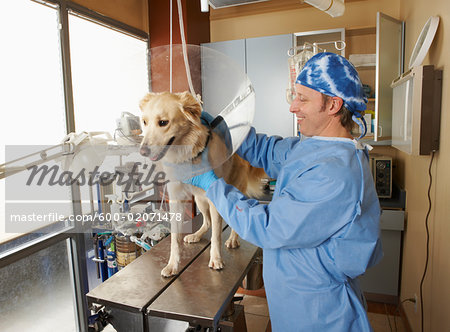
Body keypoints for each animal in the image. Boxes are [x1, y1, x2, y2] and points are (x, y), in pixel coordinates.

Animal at [139, 91, 266, 278]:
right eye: (144, 122)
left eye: (163, 122)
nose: (143, 152)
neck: (185, 154)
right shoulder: (176, 200)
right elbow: (175, 238)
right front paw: (172, 264)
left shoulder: (215, 197)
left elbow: (216, 236)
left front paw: (216, 258)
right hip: (199, 199)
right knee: (207, 222)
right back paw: (196, 235)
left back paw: (232, 239)